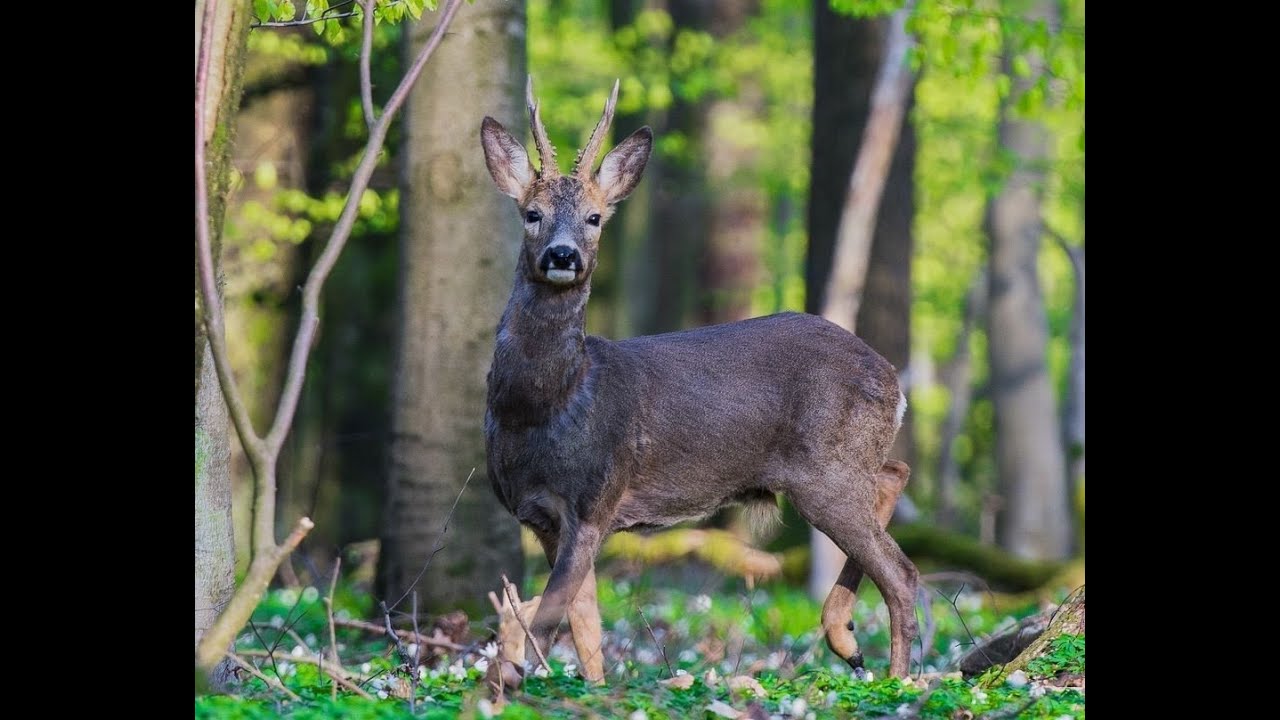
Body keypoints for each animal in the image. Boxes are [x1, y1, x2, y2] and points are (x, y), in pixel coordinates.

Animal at [481, 78, 921, 681]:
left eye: (595, 218)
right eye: (532, 213)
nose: (563, 255)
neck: (543, 406)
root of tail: (893, 380)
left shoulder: (595, 498)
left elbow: (548, 626)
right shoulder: (544, 517)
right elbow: (586, 628)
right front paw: (592, 687)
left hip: (826, 470)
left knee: (902, 569)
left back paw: (894, 679)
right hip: (839, 468)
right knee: (894, 475)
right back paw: (845, 637)